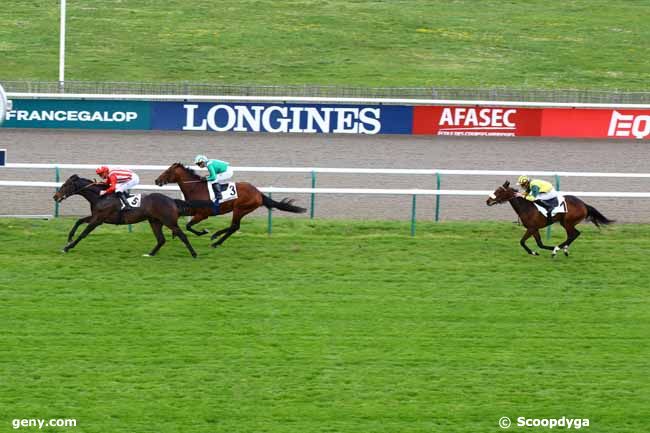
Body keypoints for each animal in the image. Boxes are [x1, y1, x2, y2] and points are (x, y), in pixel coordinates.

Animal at [53, 174, 197, 256]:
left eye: (65, 185)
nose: (55, 196)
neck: (101, 197)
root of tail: (171, 200)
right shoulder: (96, 217)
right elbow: (78, 221)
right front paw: (69, 239)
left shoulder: (98, 220)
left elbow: (83, 233)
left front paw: (68, 247)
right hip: (155, 221)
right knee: (161, 239)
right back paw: (150, 254)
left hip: (169, 221)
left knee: (182, 236)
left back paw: (194, 254)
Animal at [154, 162, 306, 246]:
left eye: (167, 171)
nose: (156, 180)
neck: (195, 188)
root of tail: (258, 193)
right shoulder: (192, 210)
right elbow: (182, 220)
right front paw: (174, 233)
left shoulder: (203, 214)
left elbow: (189, 226)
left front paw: (204, 231)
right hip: (240, 210)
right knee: (234, 226)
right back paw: (216, 237)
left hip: (239, 208)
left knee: (234, 226)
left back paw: (216, 241)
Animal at [484, 180, 612, 256]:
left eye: (499, 191)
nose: (488, 201)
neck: (526, 207)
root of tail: (584, 204)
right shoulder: (534, 229)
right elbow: (539, 243)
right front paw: (536, 252)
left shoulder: (531, 228)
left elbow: (522, 241)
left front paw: (540, 251)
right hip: (565, 223)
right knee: (572, 235)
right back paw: (564, 249)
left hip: (567, 222)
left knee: (574, 234)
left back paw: (558, 249)